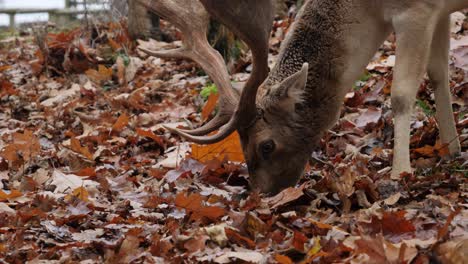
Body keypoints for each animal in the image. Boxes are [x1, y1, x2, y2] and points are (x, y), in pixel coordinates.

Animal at [138, 0, 464, 194]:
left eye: (266, 146)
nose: (260, 197)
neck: (369, 8)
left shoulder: (416, 10)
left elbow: (401, 94)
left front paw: (400, 174)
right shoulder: (439, 12)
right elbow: (439, 74)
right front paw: (452, 149)